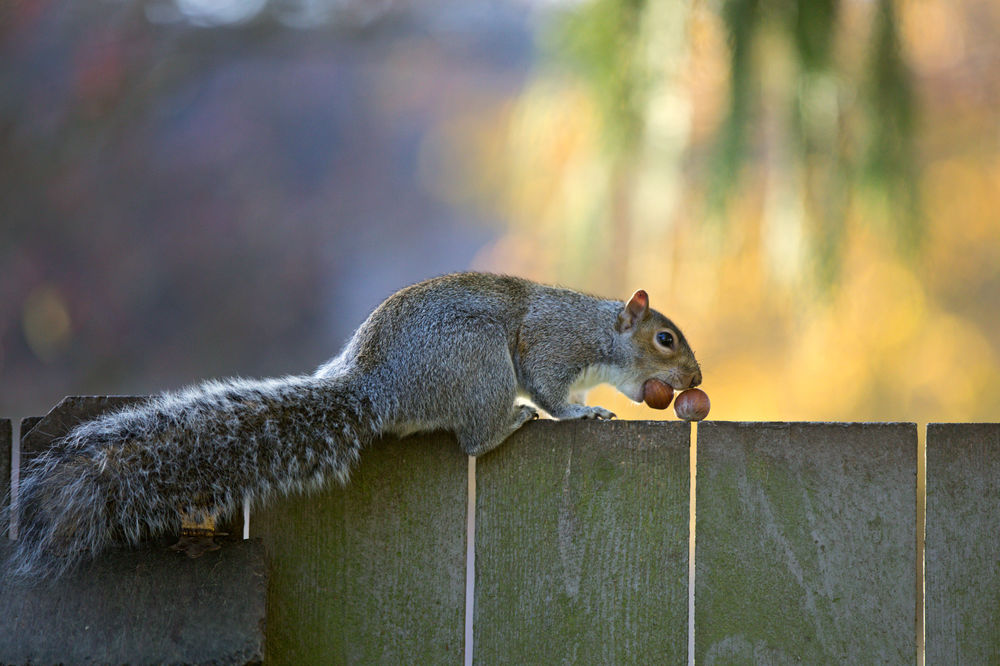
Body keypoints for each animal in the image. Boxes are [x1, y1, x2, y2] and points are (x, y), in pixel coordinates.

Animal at [6, 272, 701, 580]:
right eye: (665, 339)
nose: (694, 379)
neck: (596, 330)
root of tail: (375, 386)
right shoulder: (550, 350)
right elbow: (553, 389)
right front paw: (582, 411)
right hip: (476, 362)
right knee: (475, 438)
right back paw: (510, 424)